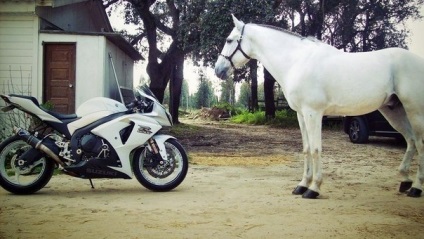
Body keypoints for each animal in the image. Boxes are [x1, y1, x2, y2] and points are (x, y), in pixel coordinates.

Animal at [215, 14, 424, 199]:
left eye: (229, 40)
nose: (218, 70)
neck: (297, 62)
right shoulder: (301, 115)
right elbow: (307, 148)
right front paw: (301, 185)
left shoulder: (313, 113)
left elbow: (316, 149)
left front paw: (314, 188)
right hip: (394, 111)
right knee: (411, 141)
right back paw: (405, 181)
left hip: (414, 111)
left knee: (420, 143)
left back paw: (416, 188)